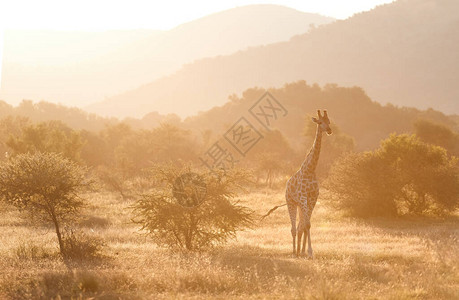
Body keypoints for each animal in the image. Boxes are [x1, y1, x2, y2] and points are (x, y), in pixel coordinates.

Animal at [286, 110, 332, 258]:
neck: (310, 170)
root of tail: (287, 184)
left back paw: (299, 250)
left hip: (301, 205)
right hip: (291, 202)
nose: (329, 130)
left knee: (299, 226)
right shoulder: (302, 198)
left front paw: (306, 251)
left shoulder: (312, 198)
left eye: (329, 121)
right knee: (293, 228)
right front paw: (309, 252)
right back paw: (294, 252)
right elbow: (306, 225)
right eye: (320, 122)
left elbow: (307, 225)